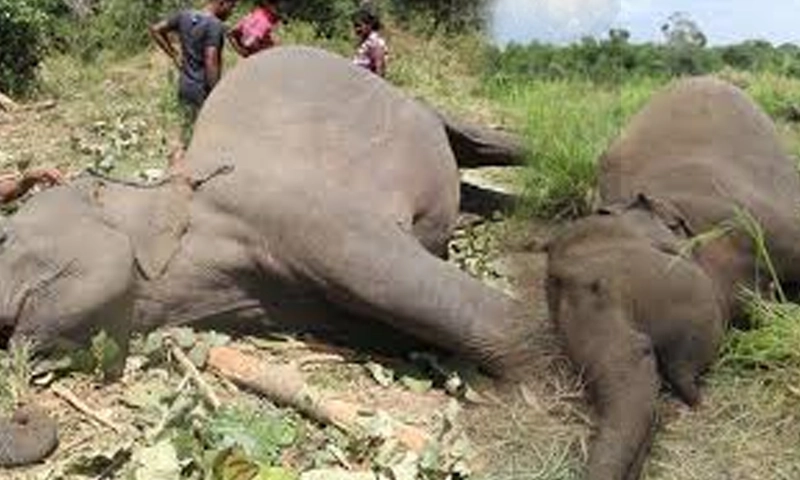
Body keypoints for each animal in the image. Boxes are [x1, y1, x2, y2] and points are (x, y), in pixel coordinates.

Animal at [0, 46, 535, 466]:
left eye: (3, 237)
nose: (25, 407)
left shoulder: (291, 207)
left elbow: (415, 287)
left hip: (410, 101)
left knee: (477, 139)